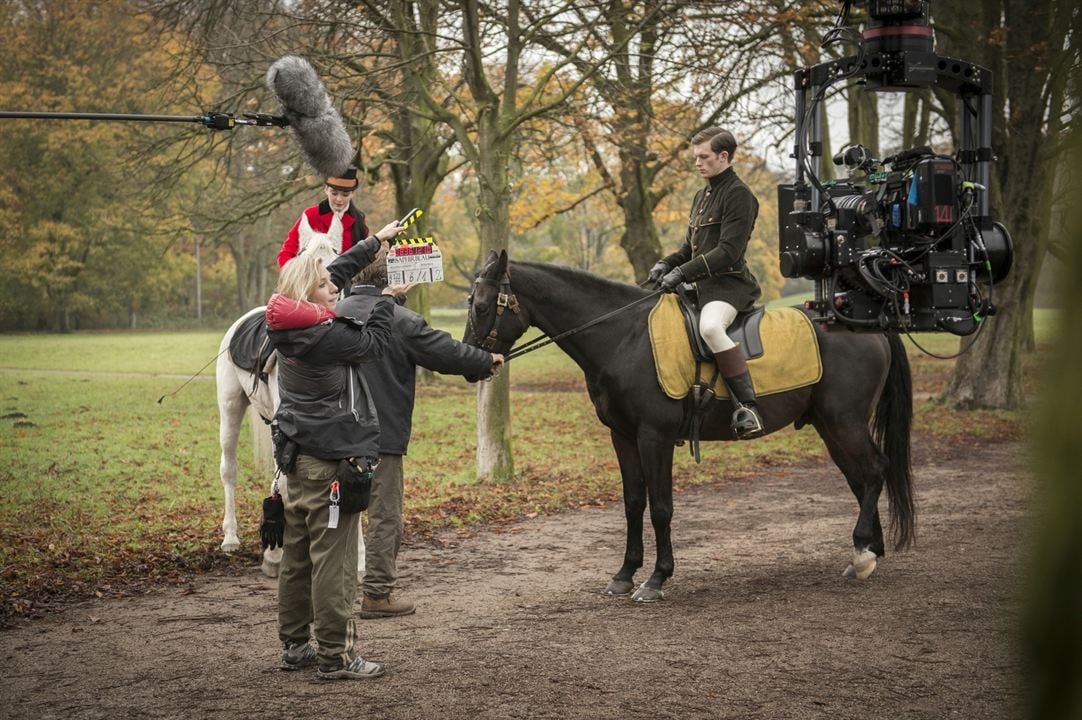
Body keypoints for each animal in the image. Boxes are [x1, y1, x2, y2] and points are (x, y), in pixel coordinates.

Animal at [215, 303, 367, 580]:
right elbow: (287, 487)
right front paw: (276, 556)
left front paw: (359, 560)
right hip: (230, 408)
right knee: (229, 470)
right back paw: (231, 537)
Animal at [465, 251, 913, 601]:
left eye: (483, 306)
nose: (473, 363)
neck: (623, 337)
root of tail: (866, 326)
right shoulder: (622, 437)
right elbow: (633, 503)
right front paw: (624, 575)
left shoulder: (654, 437)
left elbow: (661, 507)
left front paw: (656, 579)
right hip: (830, 426)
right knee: (860, 479)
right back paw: (868, 551)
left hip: (844, 422)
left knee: (875, 471)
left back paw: (862, 554)